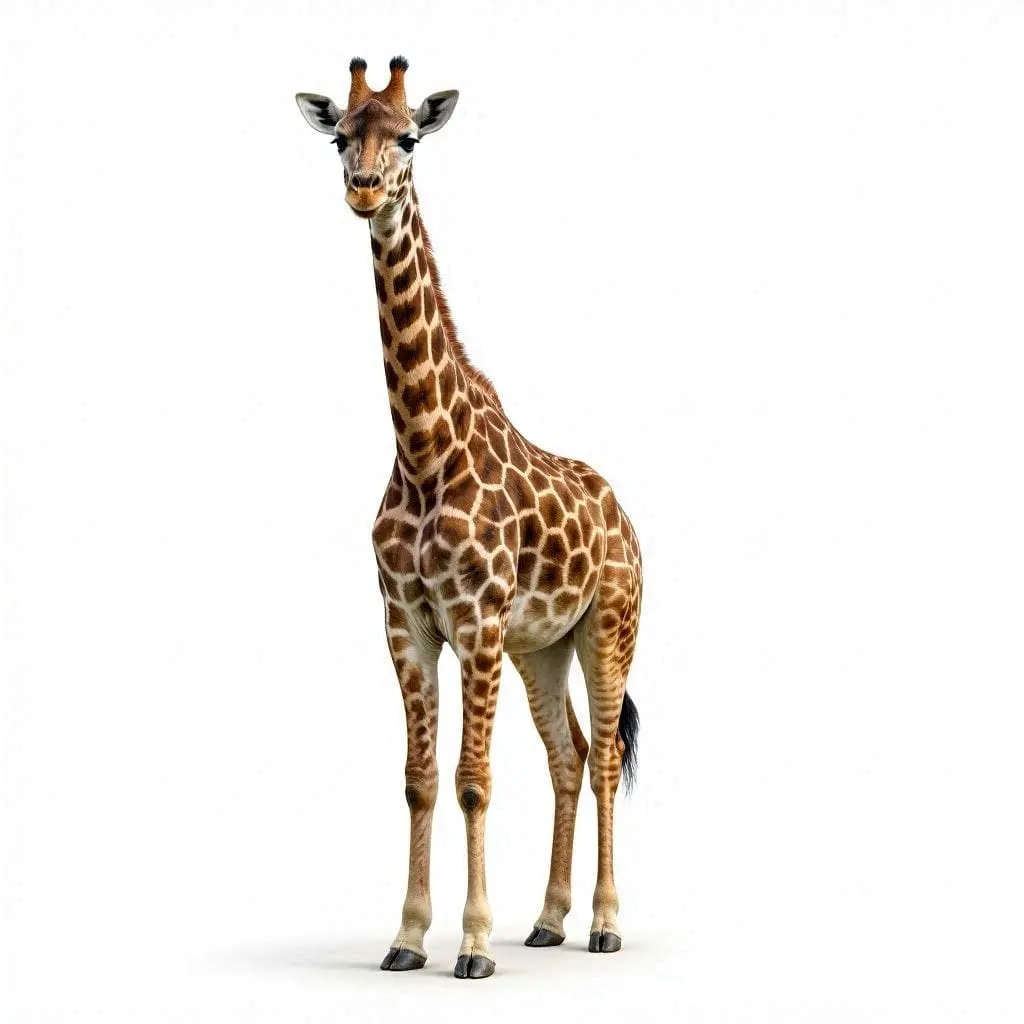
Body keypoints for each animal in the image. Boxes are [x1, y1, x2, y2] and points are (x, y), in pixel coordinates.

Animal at [296, 56, 642, 980]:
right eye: (339, 137)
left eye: (410, 136)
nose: (364, 189)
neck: (421, 450)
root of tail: (626, 516)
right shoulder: (408, 623)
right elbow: (419, 778)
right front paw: (409, 937)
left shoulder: (476, 620)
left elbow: (472, 779)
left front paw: (475, 944)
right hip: (541, 647)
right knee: (570, 755)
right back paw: (549, 921)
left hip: (608, 628)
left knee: (603, 761)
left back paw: (605, 924)